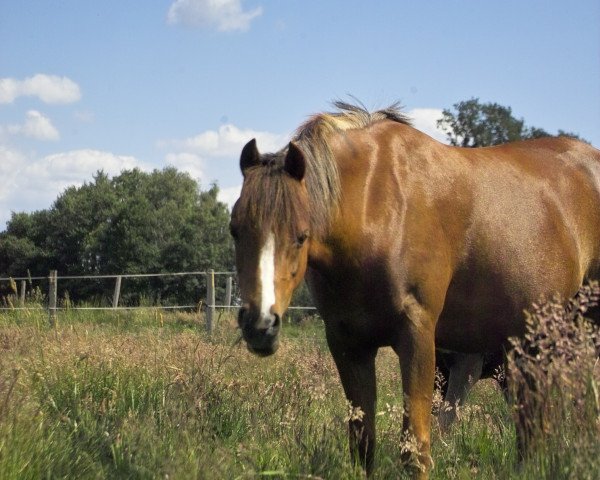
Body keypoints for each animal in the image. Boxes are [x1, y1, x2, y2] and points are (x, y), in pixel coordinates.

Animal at [231, 100, 600, 476]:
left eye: (301, 235)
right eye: (235, 229)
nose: (260, 325)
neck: (376, 207)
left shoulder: (418, 336)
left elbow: (415, 450)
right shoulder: (347, 343)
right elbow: (363, 445)